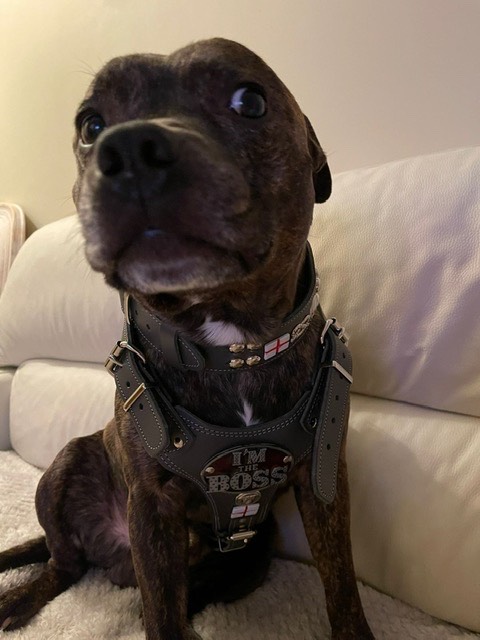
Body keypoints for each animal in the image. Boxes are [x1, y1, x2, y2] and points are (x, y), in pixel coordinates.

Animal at [0, 38, 374, 639]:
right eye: (90, 124)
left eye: (250, 101)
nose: (129, 148)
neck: (229, 344)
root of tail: (114, 558)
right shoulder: (152, 506)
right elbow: (162, 615)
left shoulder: (323, 482)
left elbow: (341, 586)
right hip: (63, 469)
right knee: (64, 563)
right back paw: (21, 599)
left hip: (256, 550)